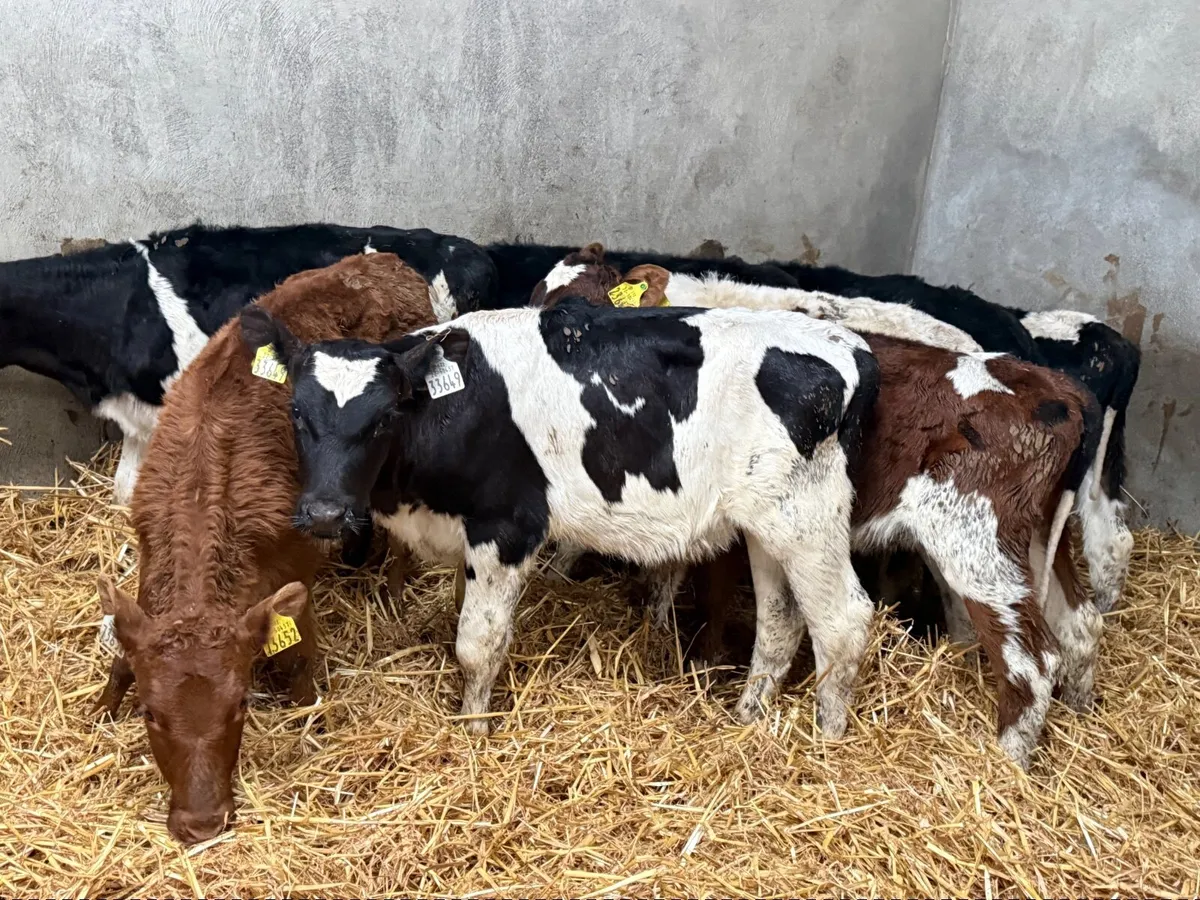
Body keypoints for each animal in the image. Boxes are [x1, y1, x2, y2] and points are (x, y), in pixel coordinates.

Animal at [94, 252, 437, 845]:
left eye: (240, 706)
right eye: (151, 714)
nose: (202, 823)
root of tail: (383, 260)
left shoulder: (293, 580)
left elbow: (301, 661)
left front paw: (307, 713)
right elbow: (121, 660)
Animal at [251, 295, 882, 741]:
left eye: (384, 417)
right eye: (296, 412)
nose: (326, 512)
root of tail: (849, 345)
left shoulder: (506, 527)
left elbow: (477, 642)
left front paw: (473, 732)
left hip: (806, 518)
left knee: (843, 622)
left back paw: (826, 741)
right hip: (766, 525)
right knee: (780, 624)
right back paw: (748, 721)